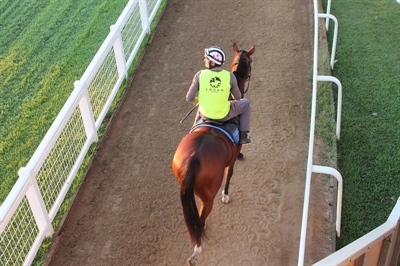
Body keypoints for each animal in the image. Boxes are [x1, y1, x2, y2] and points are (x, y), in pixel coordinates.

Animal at [171, 42, 253, 264]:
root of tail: (194, 158)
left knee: (195, 217)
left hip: (186, 186)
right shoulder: (231, 160)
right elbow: (230, 173)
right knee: (202, 215)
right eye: (250, 61)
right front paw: (226, 195)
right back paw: (197, 250)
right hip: (209, 194)